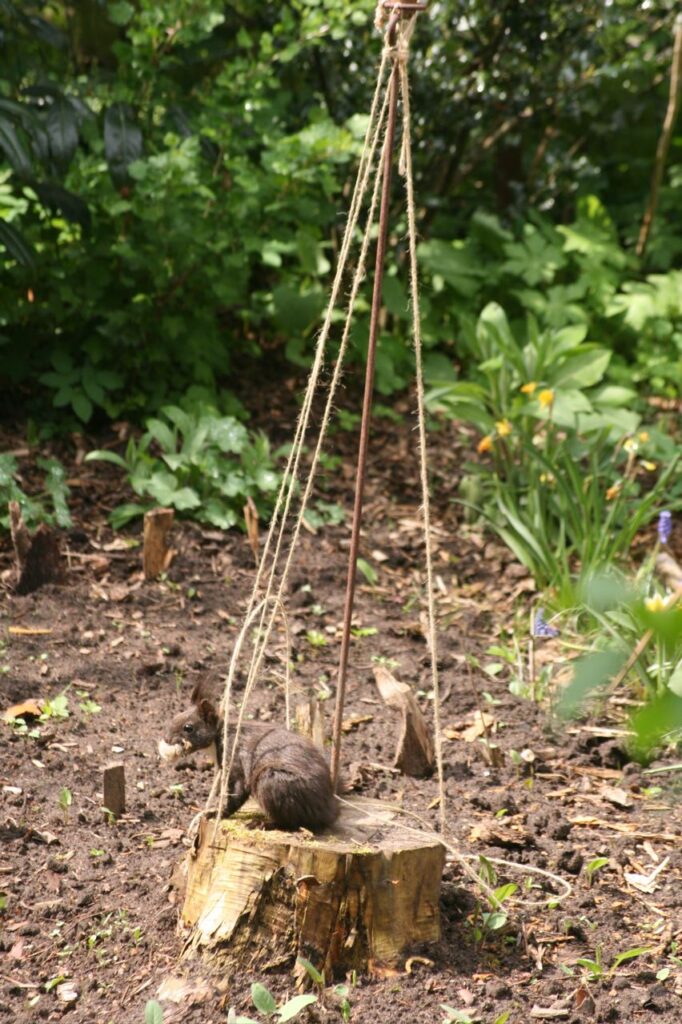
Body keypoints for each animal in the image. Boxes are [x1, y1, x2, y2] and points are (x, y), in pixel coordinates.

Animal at [158, 680, 339, 832]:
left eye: (188, 728)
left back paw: (263, 823)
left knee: (293, 823)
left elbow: (237, 791)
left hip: (272, 782)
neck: (218, 737)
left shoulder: (233, 756)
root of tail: (328, 810)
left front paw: (218, 813)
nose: (166, 738)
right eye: (175, 717)